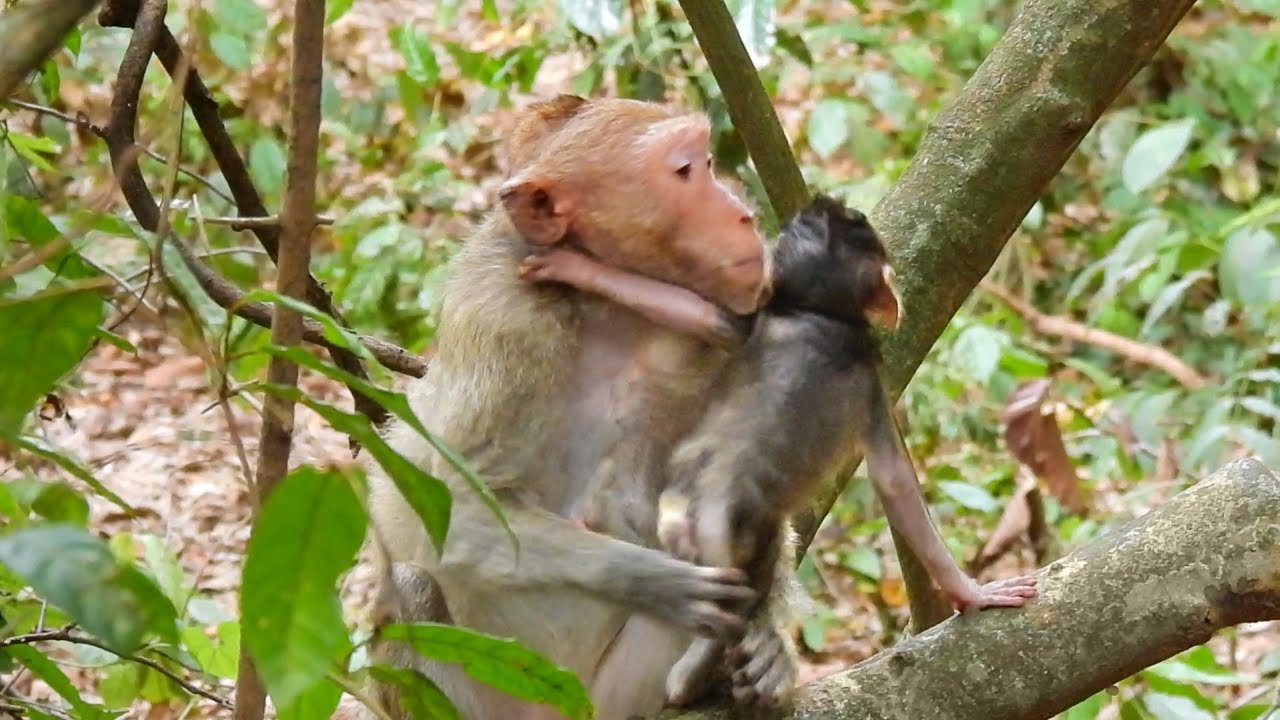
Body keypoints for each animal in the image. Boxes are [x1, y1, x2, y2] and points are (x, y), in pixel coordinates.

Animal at [362, 95, 806, 720]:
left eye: (708, 161)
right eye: (685, 171)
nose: (743, 214)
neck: (606, 313)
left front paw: (769, 645)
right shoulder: (500, 320)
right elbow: (448, 510)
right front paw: (655, 581)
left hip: (616, 697)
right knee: (411, 586)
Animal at [519, 194, 1039, 711]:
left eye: (817, 229)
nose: (816, 208)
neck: (818, 315)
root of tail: (717, 496)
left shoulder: (775, 324)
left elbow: (702, 316)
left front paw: (572, 267)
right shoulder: (868, 370)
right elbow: (894, 482)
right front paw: (971, 592)